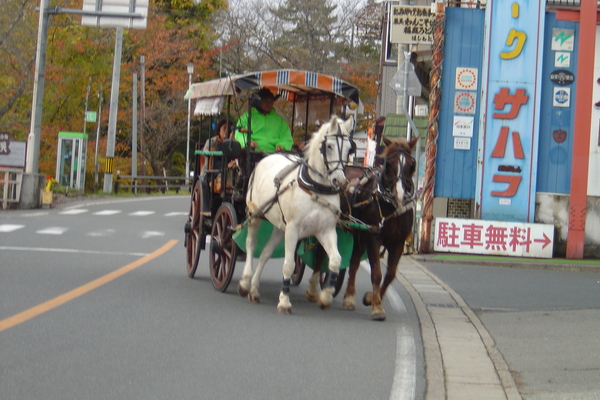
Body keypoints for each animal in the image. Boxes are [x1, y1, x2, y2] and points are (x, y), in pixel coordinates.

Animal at [237, 114, 354, 314]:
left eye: (348, 148)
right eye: (329, 146)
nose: (340, 181)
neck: (316, 188)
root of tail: (268, 156)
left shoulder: (326, 230)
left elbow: (335, 261)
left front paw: (325, 296)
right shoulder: (293, 229)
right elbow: (289, 265)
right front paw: (284, 301)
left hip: (279, 226)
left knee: (265, 253)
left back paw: (254, 289)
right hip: (256, 215)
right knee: (251, 244)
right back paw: (245, 282)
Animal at [308, 136, 420, 320]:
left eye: (412, 165)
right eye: (389, 164)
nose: (400, 195)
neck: (389, 205)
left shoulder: (398, 241)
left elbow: (390, 275)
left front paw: (371, 298)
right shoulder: (374, 237)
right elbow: (377, 274)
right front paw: (377, 308)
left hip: (359, 234)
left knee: (353, 262)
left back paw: (349, 298)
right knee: (321, 254)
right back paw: (313, 290)